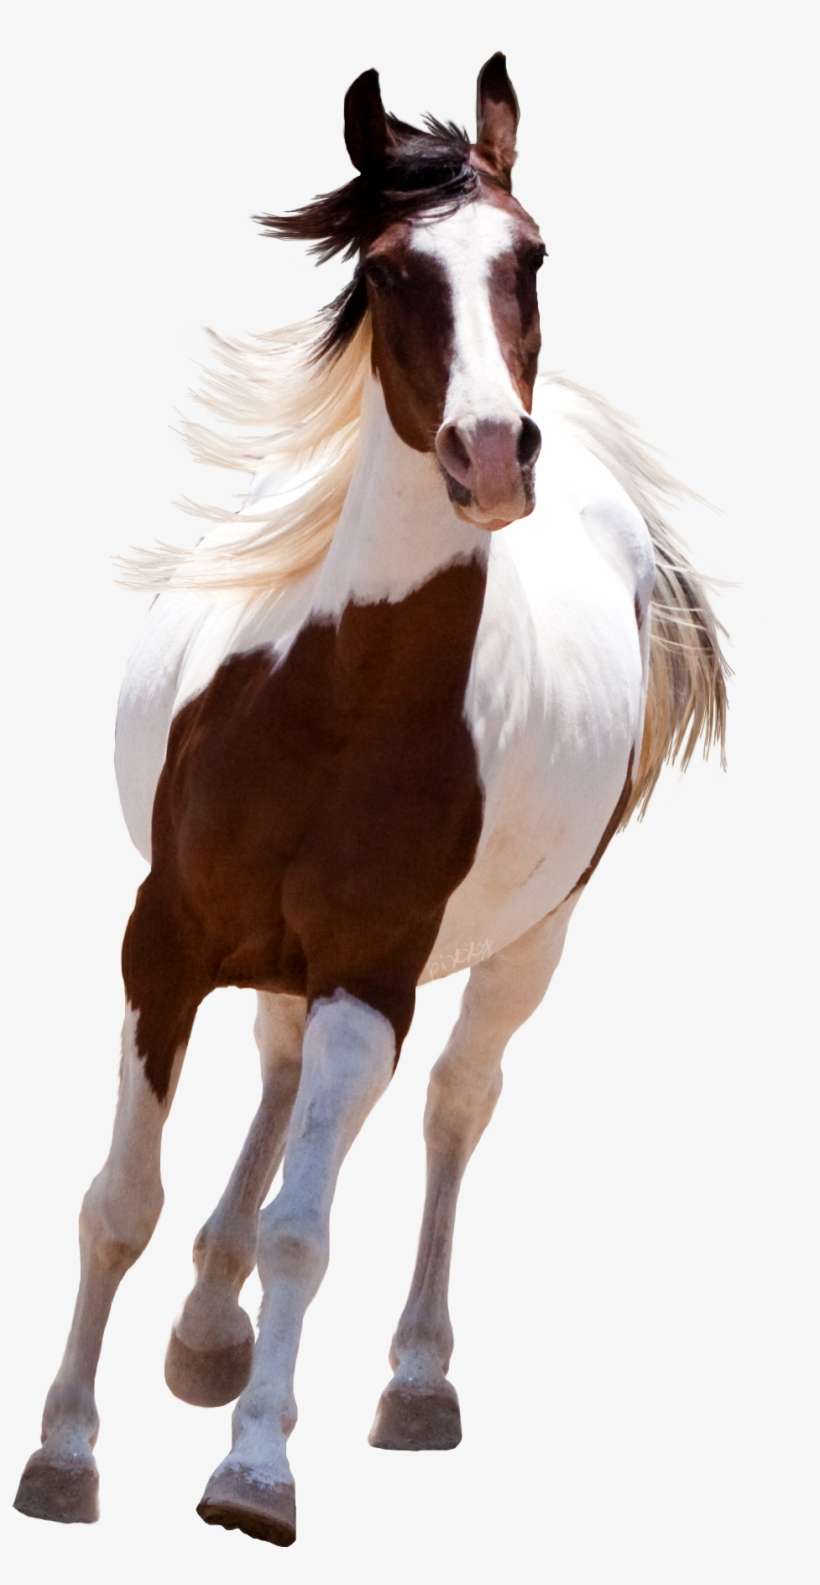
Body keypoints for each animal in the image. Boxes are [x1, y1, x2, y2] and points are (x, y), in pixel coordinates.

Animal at [14, 53, 727, 1548]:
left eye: (531, 254)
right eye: (395, 270)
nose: (491, 454)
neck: (334, 705)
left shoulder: (371, 977)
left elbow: (308, 1225)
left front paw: (254, 1471)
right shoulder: (161, 947)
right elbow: (119, 1201)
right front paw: (63, 1454)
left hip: (524, 946)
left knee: (456, 1103)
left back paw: (411, 1378)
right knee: (277, 1078)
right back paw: (206, 1323)